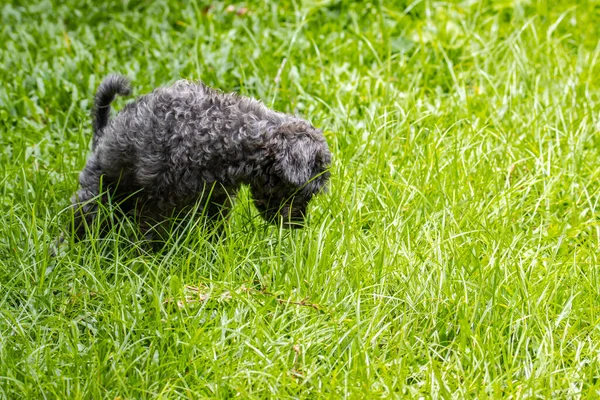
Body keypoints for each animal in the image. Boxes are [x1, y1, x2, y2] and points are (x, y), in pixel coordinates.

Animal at [71, 74, 332, 241]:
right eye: (304, 192)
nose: (298, 224)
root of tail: (102, 135)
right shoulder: (156, 201)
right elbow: (152, 236)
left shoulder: (216, 200)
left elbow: (215, 231)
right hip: (98, 194)